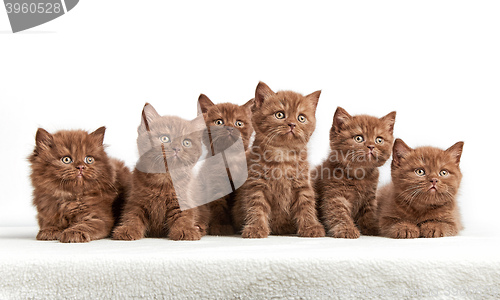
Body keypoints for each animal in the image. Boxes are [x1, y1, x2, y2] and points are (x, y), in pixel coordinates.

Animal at [113, 103, 205, 241]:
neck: (163, 177)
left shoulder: (182, 200)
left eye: (186, 142)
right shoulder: (136, 200)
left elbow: (184, 216)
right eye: (165, 138)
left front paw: (185, 230)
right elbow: (132, 215)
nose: (176, 148)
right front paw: (128, 229)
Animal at [196, 95, 256, 236]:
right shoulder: (216, 184)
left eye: (238, 123)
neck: (229, 160)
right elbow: (218, 207)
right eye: (219, 122)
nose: (229, 128)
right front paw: (221, 227)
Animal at [231, 81, 324, 239]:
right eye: (280, 114)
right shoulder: (256, 184)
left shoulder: (302, 183)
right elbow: (256, 206)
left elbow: (306, 204)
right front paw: (256, 228)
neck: (282, 155)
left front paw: (311, 226)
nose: (292, 124)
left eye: (301, 118)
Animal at [312, 106, 398, 238]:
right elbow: (338, 212)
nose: (371, 146)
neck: (359, 175)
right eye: (358, 138)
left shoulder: (369, 197)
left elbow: (369, 213)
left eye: (379, 140)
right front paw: (346, 228)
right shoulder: (335, 194)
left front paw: (373, 228)